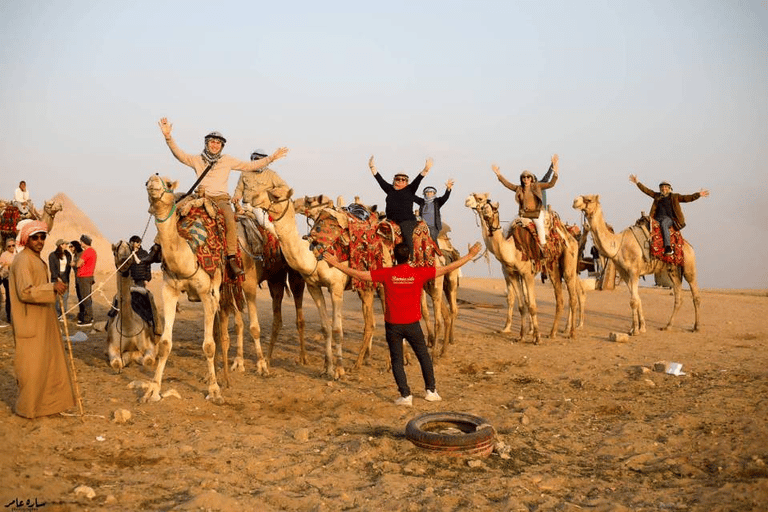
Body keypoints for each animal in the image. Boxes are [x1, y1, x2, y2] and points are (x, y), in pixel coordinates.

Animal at [105, 240, 158, 372]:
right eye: (116, 248)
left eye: (129, 247)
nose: (124, 257)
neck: (128, 328)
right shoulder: (112, 347)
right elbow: (117, 363)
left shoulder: (150, 346)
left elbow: (147, 360)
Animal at [572, 194, 700, 334]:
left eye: (589, 199)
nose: (575, 201)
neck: (618, 244)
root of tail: (689, 246)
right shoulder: (624, 273)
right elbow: (637, 299)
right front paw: (639, 327)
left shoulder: (634, 271)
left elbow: (633, 301)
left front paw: (635, 331)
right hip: (673, 269)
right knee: (678, 298)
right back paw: (668, 326)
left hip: (688, 265)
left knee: (695, 294)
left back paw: (696, 327)